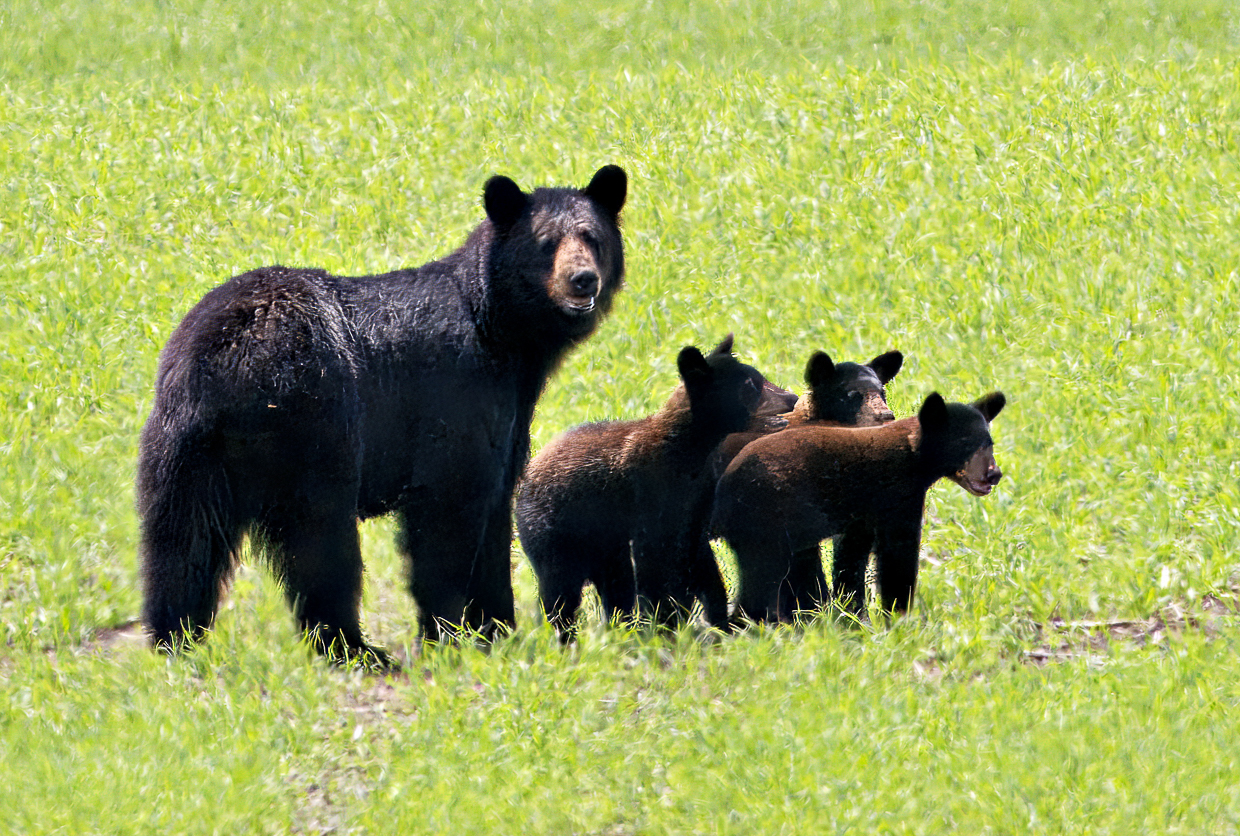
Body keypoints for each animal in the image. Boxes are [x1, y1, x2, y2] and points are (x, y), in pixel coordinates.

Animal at [136, 165, 628, 666]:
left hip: (184, 448)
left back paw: (175, 638)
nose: (583, 280)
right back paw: (354, 648)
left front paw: (498, 629)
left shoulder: (507, 420)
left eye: (591, 237)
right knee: (320, 543)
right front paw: (446, 634)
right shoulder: (455, 395)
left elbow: (494, 512)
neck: (503, 334)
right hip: (314, 427)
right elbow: (446, 510)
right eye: (546, 242)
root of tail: (230, 356)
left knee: (180, 543)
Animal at [515, 335, 778, 640]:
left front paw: (718, 621)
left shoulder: (694, 505)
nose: (792, 398)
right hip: (555, 534)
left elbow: (699, 561)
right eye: (751, 384)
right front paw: (667, 623)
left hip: (606, 544)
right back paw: (565, 635)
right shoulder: (650, 495)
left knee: (616, 585)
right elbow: (656, 566)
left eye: (759, 377)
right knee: (560, 591)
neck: (689, 451)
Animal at [712, 390, 1005, 624]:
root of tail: (724, 493)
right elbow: (897, 555)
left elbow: (851, 558)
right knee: (761, 581)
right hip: (766, 525)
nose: (994, 474)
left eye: (990, 443)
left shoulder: (860, 518)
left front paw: (852, 614)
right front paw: (898, 617)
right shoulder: (896, 495)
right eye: (965, 443)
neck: (914, 455)